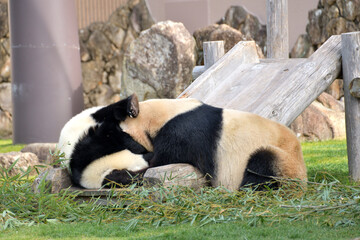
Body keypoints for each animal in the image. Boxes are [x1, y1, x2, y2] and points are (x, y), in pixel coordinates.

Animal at [114, 94, 308, 191]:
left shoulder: (183, 132)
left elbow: (160, 162)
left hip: (286, 163)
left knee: (263, 162)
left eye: (116, 136)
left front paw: (117, 175)